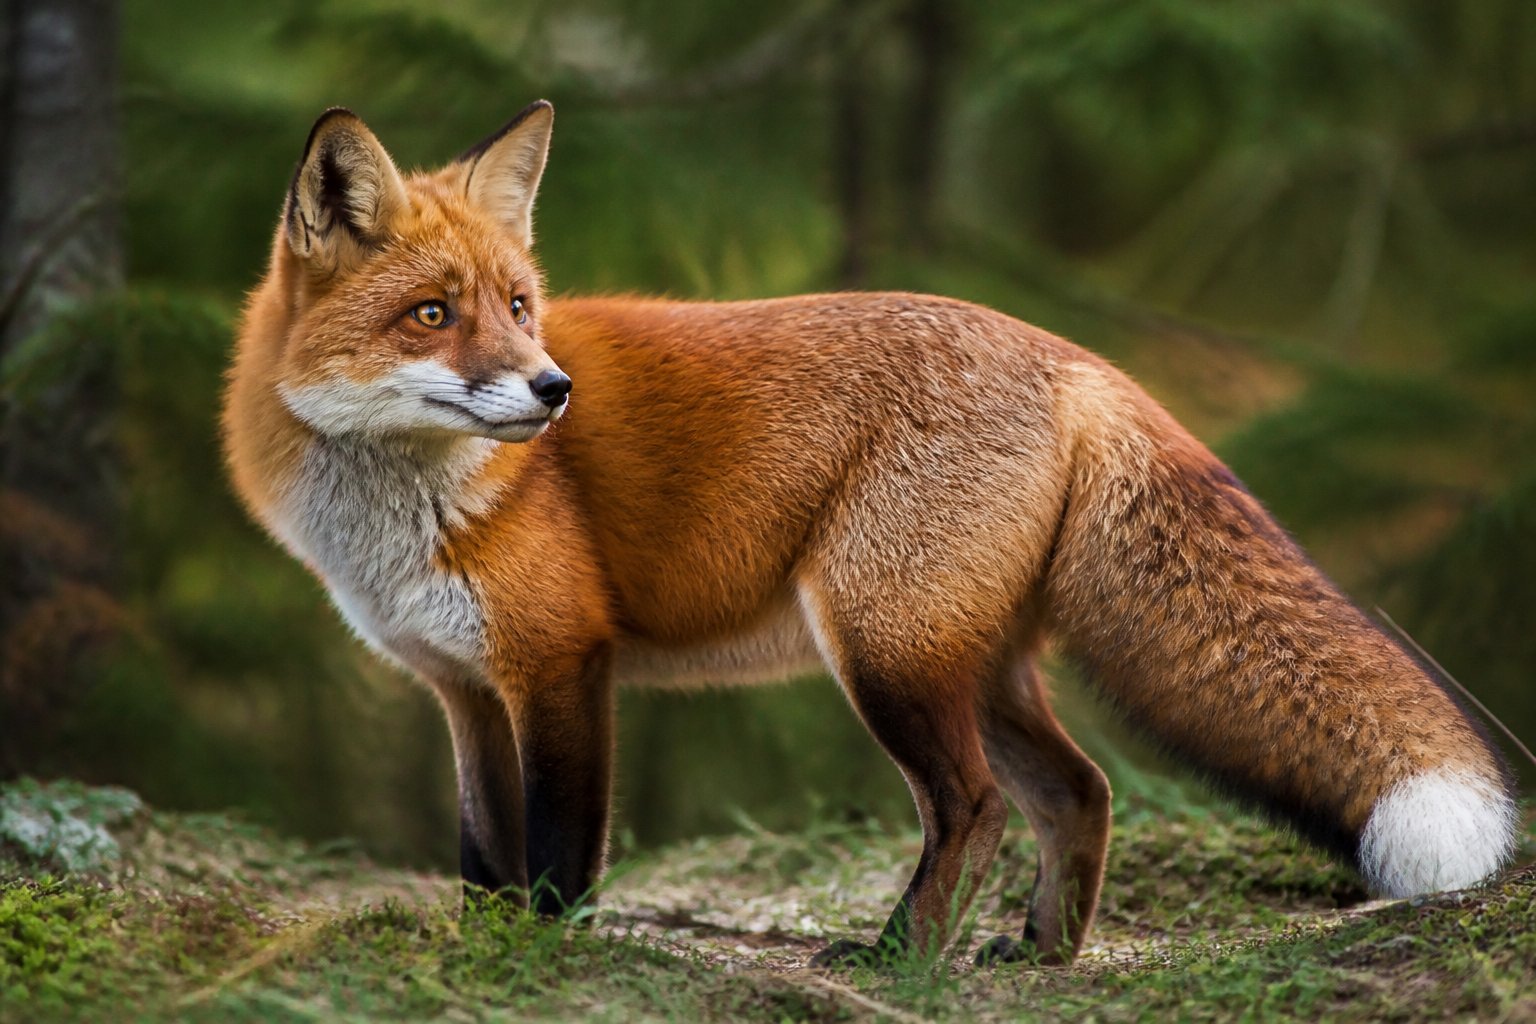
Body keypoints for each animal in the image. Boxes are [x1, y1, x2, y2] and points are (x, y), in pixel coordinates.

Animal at [222, 100, 1519, 967]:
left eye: (520, 305)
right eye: (433, 313)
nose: (552, 391)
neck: (400, 516)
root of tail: (1073, 357)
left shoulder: (561, 665)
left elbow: (557, 848)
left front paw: (547, 951)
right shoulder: (462, 689)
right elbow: (480, 852)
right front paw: (483, 945)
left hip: (885, 650)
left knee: (976, 806)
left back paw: (900, 956)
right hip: (971, 663)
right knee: (1082, 789)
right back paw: (1041, 952)